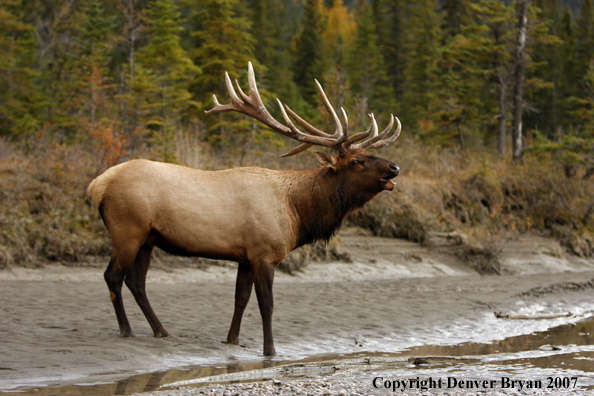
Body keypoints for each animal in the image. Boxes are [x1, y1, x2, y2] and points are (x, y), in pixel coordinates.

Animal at [88, 62, 400, 356]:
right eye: (357, 161)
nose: (394, 167)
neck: (297, 213)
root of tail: (96, 186)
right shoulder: (264, 253)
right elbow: (266, 304)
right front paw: (270, 350)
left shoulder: (246, 256)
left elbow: (240, 298)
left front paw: (232, 340)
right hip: (127, 230)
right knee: (113, 276)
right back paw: (127, 330)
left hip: (148, 238)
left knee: (136, 282)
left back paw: (160, 330)